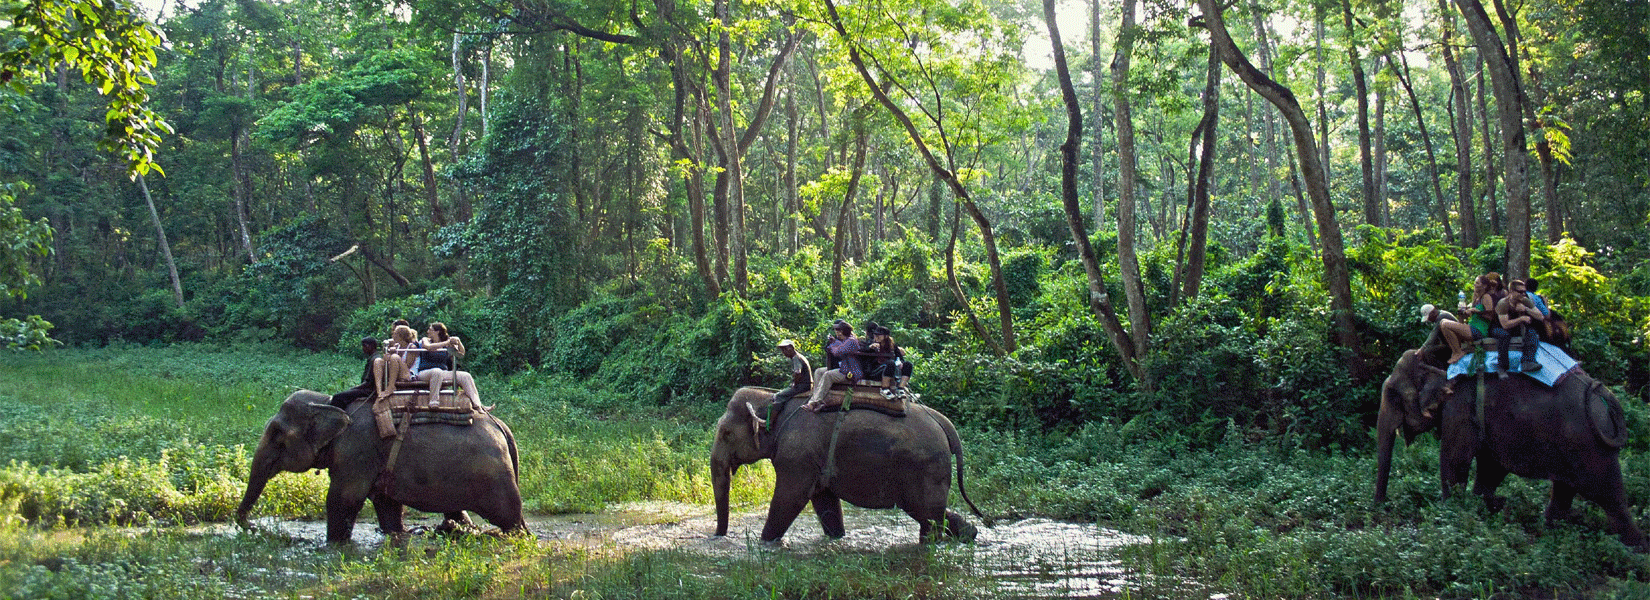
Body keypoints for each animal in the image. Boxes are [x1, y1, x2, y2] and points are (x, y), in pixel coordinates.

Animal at [232, 389, 524, 543]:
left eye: (277, 434)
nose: (252, 525)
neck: (327, 403)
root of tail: (502, 426)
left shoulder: (356, 451)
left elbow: (343, 499)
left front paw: (335, 545)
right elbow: (387, 504)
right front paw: (397, 536)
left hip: (494, 478)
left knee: (509, 517)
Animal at [712, 384, 990, 543]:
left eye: (725, 433)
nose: (718, 536)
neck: (772, 400)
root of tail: (944, 423)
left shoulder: (797, 455)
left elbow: (790, 497)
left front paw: (766, 543)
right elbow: (824, 499)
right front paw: (836, 537)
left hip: (925, 467)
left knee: (926, 513)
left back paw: (931, 544)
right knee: (931, 512)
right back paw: (970, 534)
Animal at [1372, 349, 1643, 550]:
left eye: (1393, 394)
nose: (1379, 511)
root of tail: (1602, 392)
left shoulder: (1460, 409)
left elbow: (1454, 462)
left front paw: (1451, 516)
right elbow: (1491, 466)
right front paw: (1491, 506)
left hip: (1590, 447)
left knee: (1610, 498)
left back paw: (1634, 551)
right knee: (1565, 489)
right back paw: (1549, 534)